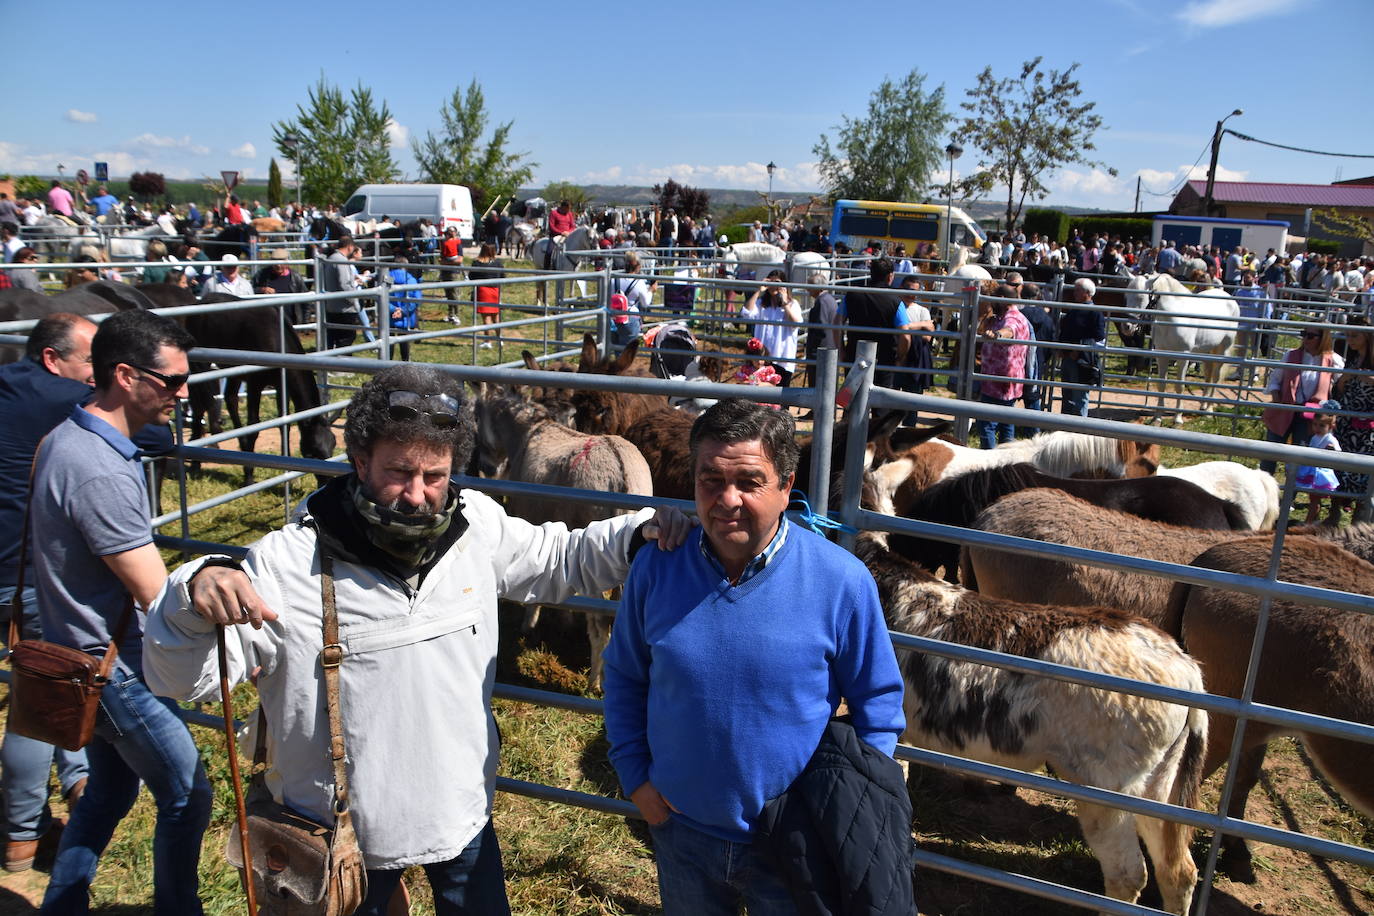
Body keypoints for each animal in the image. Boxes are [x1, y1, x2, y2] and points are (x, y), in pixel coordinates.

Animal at [1126, 274, 1247, 425]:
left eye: (1141, 297)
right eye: (1126, 296)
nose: (1127, 327)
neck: (1172, 319)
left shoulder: (1183, 357)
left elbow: (1180, 386)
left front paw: (1178, 418)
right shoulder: (1161, 355)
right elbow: (1161, 386)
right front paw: (1157, 418)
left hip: (1222, 350)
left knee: (1215, 377)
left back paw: (1209, 411)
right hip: (1206, 351)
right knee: (1208, 375)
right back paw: (1203, 406)